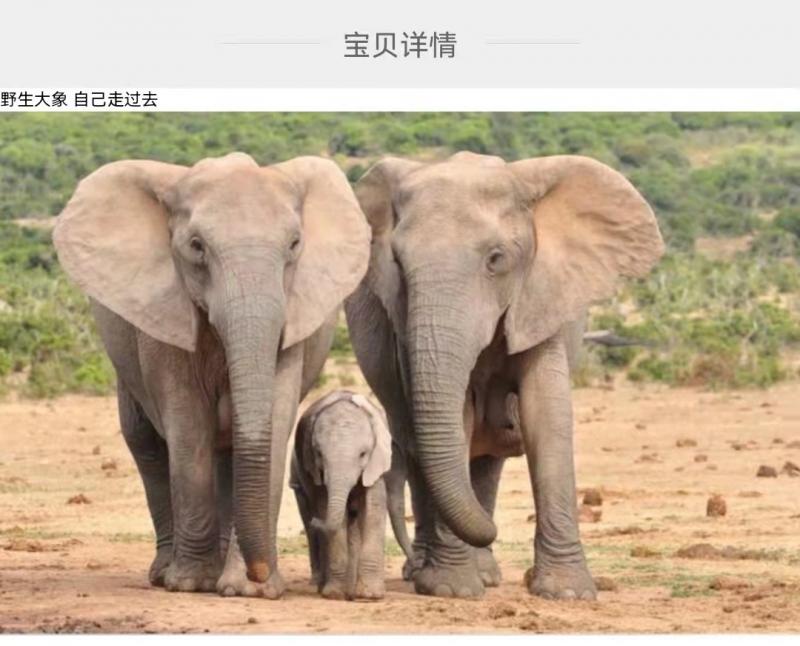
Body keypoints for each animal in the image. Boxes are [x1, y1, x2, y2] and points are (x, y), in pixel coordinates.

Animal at [53, 152, 370, 598]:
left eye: (294, 245)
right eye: (196, 247)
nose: (260, 571)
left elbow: (273, 420)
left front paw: (251, 591)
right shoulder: (165, 316)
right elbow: (187, 425)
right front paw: (192, 583)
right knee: (147, 445)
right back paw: (165, 574)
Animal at [289, 390, 392, 600]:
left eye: (363, 454)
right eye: (319, 454)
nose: (316, 521)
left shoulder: (376, 465)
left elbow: (374, 509)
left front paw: (370, 595)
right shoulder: (315, 470)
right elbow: (326, 507)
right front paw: (334, 594)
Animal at [344, 151, 664, 600]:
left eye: (496, 259)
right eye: (397, 264)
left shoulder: (542, 297)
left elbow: (545, 415)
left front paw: (568, 593)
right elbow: (456, 420)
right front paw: (453, 590)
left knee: (485, 459)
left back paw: (485, 572)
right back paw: (433, 572)